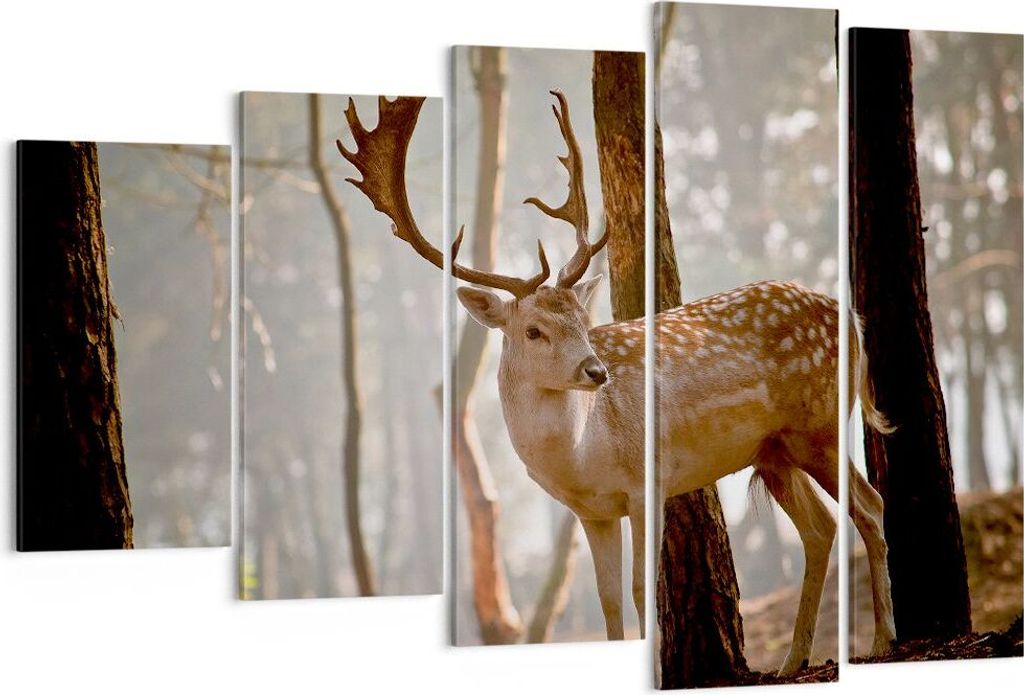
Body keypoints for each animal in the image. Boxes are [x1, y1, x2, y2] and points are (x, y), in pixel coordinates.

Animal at [337, 93, 896, 674]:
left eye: (584, 322)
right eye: (533, 330)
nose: (596, 371)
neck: (583, 456)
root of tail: (851, 317)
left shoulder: (647, 482)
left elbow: (639, 591)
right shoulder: (592, 511)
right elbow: (608, 599)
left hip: (819, 424)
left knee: (869, 506)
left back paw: (881, 641)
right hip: (775, 450)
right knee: (822, 527)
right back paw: (794, 662)